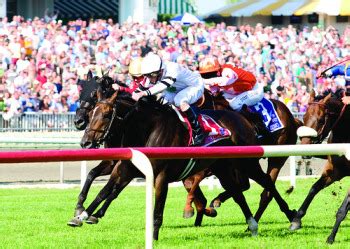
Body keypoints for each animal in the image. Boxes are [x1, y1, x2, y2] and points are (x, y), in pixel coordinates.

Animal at [67, 91, 296, 239]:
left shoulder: (160, 176)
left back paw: (292, 217)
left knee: (266, 184)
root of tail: (243, 118)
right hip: (223, 167)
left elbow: (158, 210)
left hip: (248, 161)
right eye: (91, 112)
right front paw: (81, 215)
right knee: (238, 192)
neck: (149, 130)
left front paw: (155, 236)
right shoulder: (126, 168)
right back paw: (251, 224)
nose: (85, 142)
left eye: (106, 114)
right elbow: (104, 190)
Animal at [290, 89, 350, 243]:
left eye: (322, 119)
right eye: (304, 117)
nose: (304, 150)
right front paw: (296, 220)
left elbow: (343, 209)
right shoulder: (335, 171)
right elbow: (313, 188)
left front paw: (331, 237)